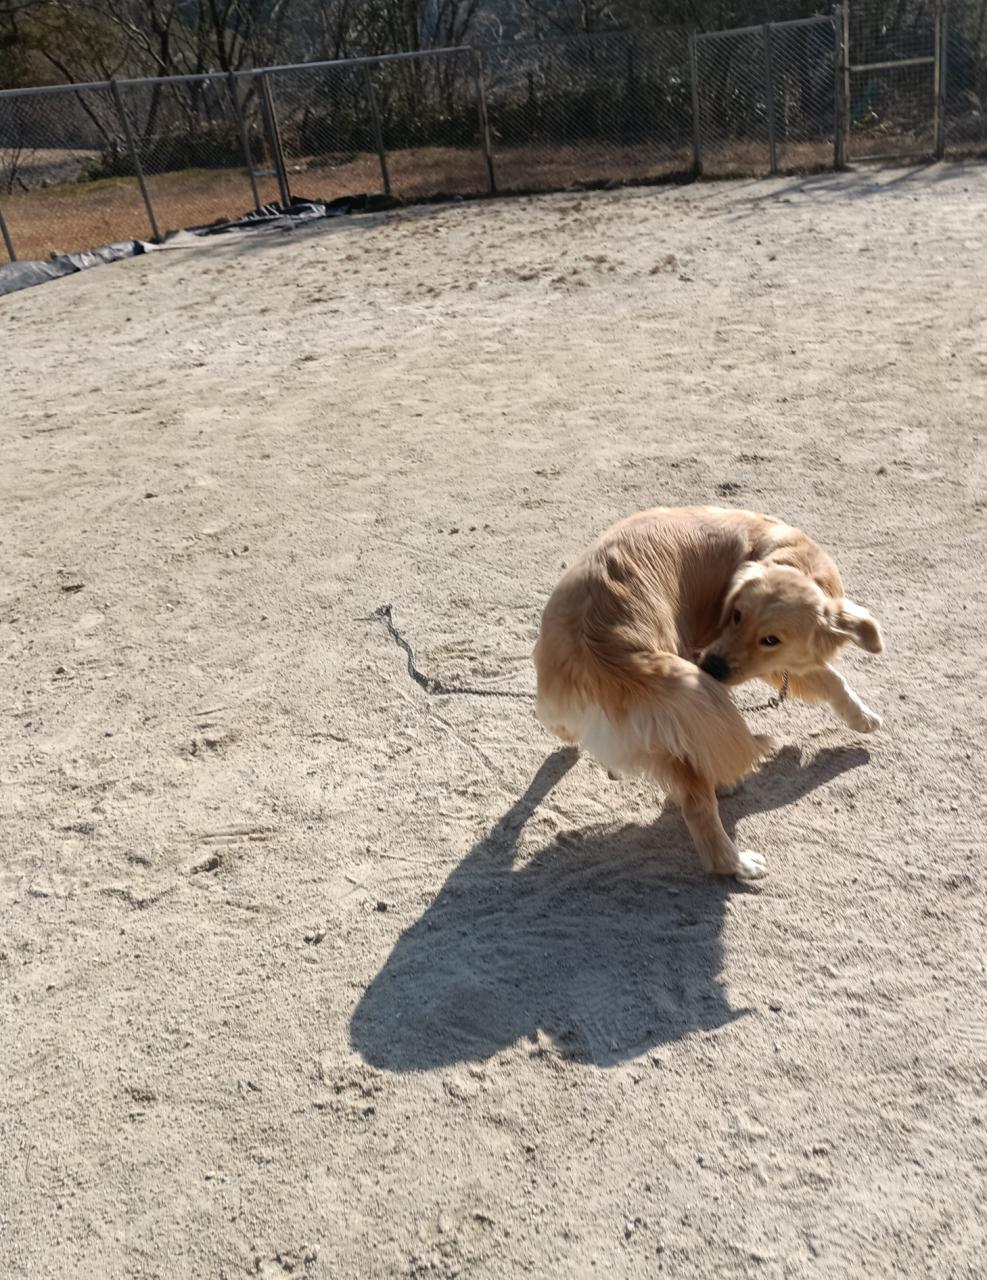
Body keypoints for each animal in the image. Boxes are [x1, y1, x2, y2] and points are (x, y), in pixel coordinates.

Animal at [533, 506, 883, 880]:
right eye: (736, 614)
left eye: (771, 639)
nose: (711, 667)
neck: (789, 557)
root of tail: (605, 653)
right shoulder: (756, 666)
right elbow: (830, 677)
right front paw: (863, 717)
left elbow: (831, 679)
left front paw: (862, 717)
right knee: (698, 808)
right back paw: (738, 859)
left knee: (560, 726)